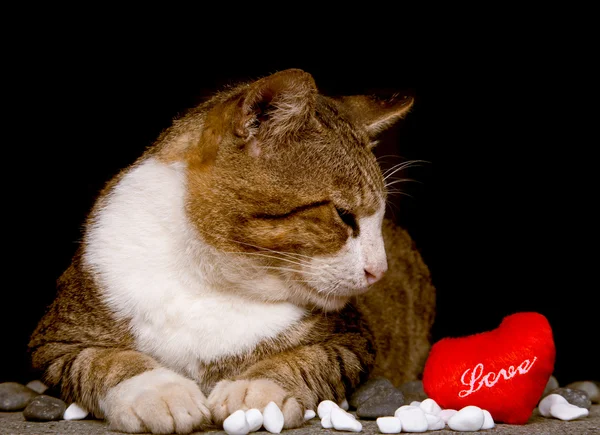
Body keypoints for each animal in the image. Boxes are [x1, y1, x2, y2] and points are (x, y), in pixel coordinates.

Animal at [28, 70, 436, 434]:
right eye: (343, 215)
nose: (379, 270)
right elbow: (102, 360)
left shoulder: (352, 340)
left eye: (380, 218)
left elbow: (307, 359)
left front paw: (256, 389)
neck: (208, 278)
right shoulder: (57, 339)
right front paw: (158, 392)